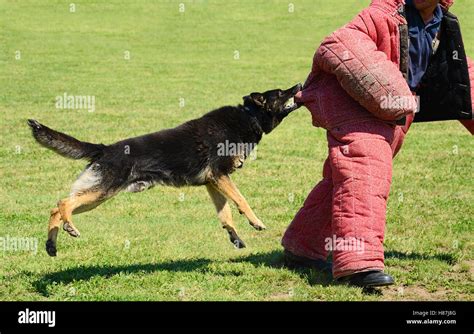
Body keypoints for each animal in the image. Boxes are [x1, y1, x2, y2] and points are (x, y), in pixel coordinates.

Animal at [27, 83, 302, 256]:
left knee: (56, 207)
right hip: (102, 192)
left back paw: (51, 245)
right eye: (280, 92)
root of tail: (104, 149)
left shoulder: (213, 182)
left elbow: (225, 214)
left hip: (97, 198)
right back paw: (69, 227)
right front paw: (256, 222)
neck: (249, 117)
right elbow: (242, 201)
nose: (299, 84)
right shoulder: (221, 176)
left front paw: (234, 236)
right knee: (63, 203)